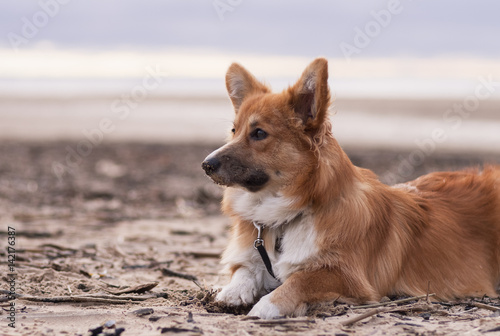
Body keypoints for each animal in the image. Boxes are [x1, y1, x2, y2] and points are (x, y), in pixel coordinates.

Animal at [202, 58, 500, 320]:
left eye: (259, 133)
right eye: (234, 130)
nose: (206, 164)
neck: (290, 214)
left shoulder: (347, 275)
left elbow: (301, 280)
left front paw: (267, 306)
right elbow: (244, 269)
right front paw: (232, 291)